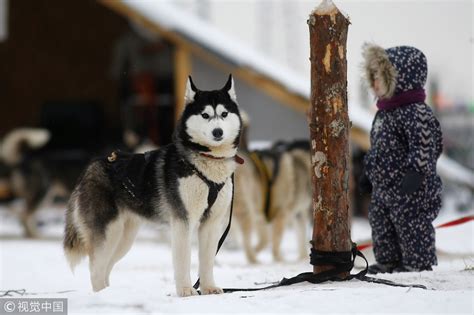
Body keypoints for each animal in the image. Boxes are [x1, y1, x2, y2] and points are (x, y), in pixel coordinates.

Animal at [63, 75, 243, 298]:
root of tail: (90, 168)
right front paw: (185, 289)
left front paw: (209, 287)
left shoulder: (211, 223)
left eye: (224, 114)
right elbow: (184, 259)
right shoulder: (182, 221)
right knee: (96, 268)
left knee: (106, 267)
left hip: (124, 237)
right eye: (205, 114)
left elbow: (207, 261)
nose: (218, 132)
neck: (205, 162)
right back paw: (102, 295)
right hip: (108, 232)